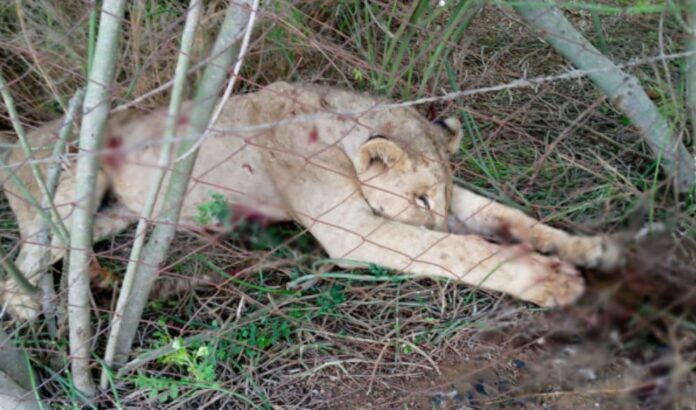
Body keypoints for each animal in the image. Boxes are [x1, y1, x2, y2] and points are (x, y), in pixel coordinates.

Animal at [0, 82, 623, 320]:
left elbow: (506, 217)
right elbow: (455, 252)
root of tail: (14, 143)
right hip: (68, 192)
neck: (342, 137)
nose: (442, 220)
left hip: (115, 215)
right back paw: (32, 308)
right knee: (21, 261)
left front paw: (591, 249)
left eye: (440, 196)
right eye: (419, 199)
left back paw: (102, 281)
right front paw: (548, 279)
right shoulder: (352, 231)